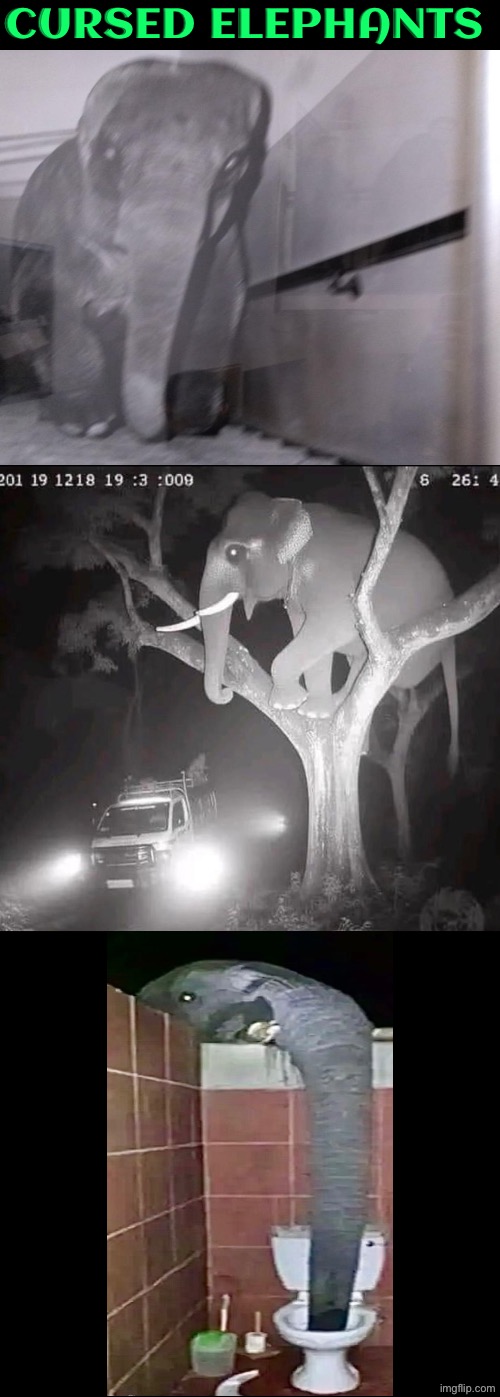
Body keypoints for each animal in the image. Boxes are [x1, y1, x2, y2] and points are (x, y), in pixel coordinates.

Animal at [10, 61, 269, 441]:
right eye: (108, 153)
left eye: (232, 164)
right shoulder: (65, 224)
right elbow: (63, 300)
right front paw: (86, 421)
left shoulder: (225, 235)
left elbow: (222, 299)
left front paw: (195, 413)